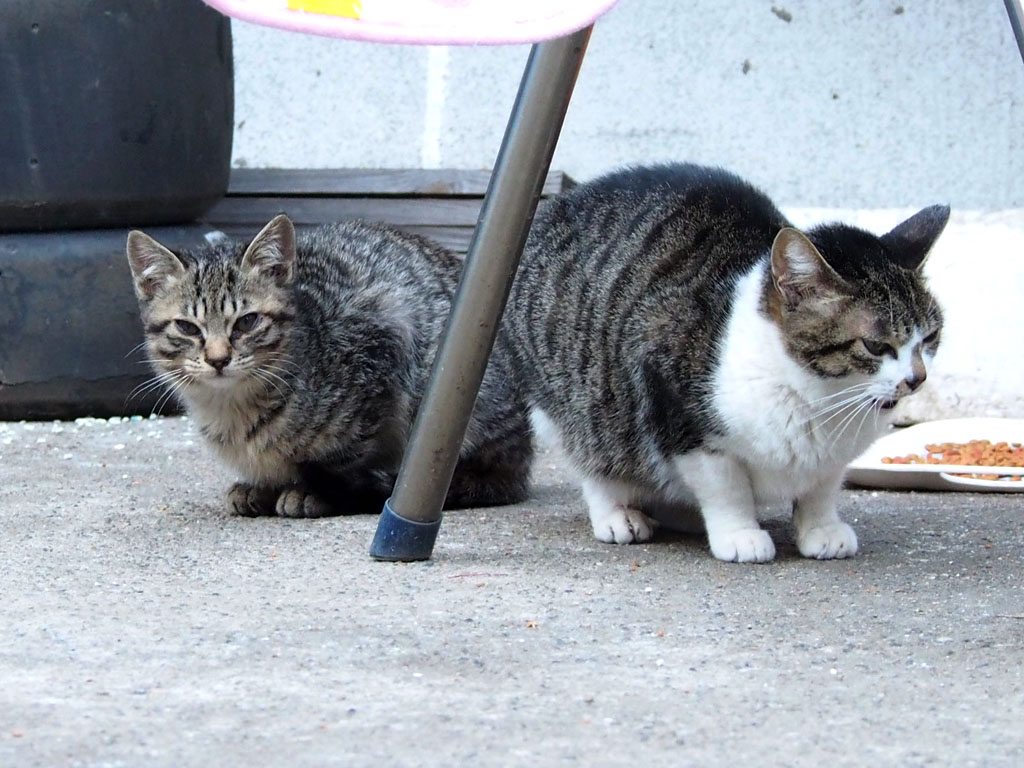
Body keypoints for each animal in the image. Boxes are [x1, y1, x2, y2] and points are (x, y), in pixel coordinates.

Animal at [123, 214, 532, 520]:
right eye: (187, 328)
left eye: (247, 322)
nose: (218, 359)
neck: (232, 408)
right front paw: (263, 487)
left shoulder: (385, 339)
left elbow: (346, 456)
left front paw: (316, 492)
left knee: (497, 479)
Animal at [507, 162, 946, 561]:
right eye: (875, 346)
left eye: (930, 337)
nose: (917, 378)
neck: (820, 398)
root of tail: (561, 203)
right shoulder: (681, 417)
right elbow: (725, 489)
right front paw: (739, 534)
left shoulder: (834, 457)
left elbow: (821, 488)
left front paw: (821, 528)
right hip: (578, 403)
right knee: (594, 458)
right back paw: (618, 513)